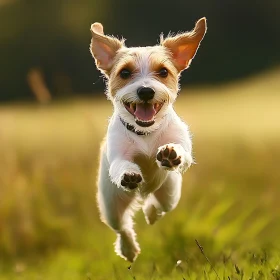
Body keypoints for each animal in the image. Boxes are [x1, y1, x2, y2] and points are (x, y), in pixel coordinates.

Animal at [89, 18, 206, 262]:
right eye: (124, 73)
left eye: (163, 71)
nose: (145, 91)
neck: (146, 134)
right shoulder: (118, 158)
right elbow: (122, 165)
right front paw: (129, 174)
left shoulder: (183, 147)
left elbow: (182, 152)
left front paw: (171, 153)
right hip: (111, 203)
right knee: (122, 227)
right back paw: (128, 248)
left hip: (170, 191)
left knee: (159, 206)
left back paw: (150, 211)